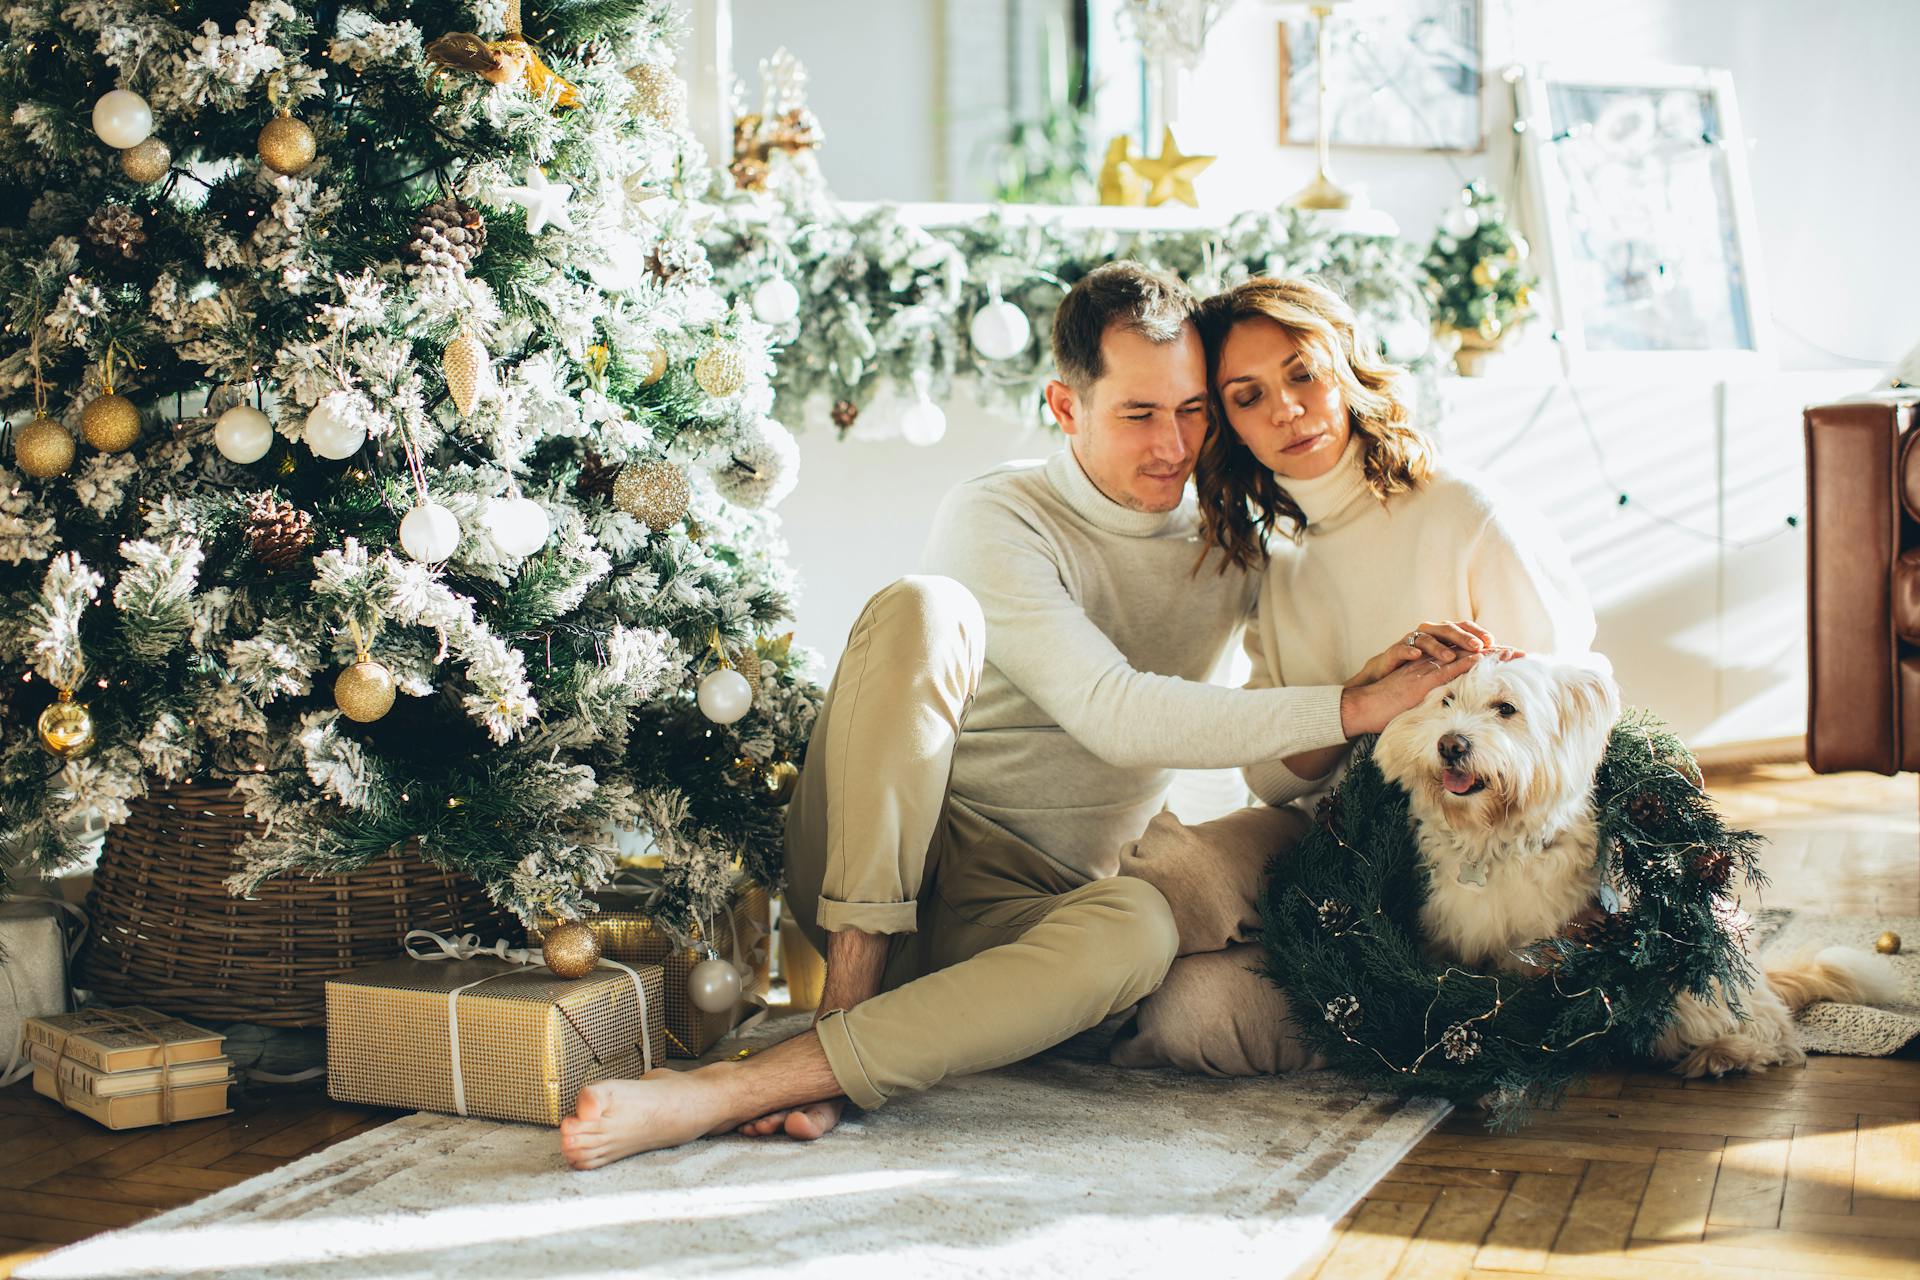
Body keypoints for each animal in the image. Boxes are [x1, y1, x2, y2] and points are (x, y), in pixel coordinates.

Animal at [1374, 652, 1896, 1082]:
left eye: (1506, 708)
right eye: (1446, 700)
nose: (1450, 744)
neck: (1492, 839)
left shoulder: (1540, 949)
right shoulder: (1446, 936)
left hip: (1694, 974)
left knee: (1771, 1029)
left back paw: (1725, 1054)